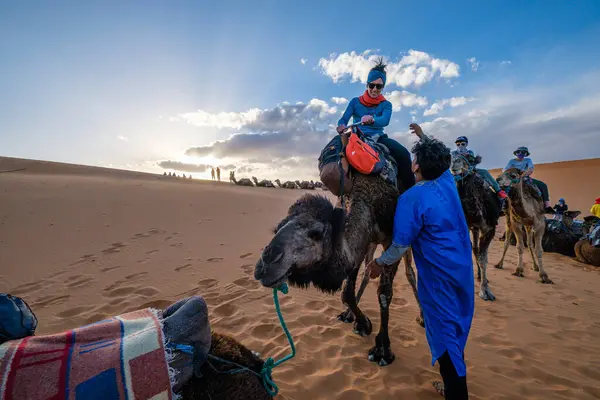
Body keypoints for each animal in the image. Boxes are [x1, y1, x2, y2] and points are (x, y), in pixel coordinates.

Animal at [253, 169, 422, 366]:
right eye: (277, 228)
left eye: (316, 233)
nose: (267, 263)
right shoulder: (363, 241)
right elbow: (347, 292)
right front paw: (363, 323)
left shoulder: (393, 240)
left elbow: (384, 293)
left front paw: (382, 350)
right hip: (372, 244)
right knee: (367, 273)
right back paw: (348, 315)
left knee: (410, 273)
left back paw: (422, 317)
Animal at [450, 153, 502, 300]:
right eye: (451, 156)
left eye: (470, 159)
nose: (454, 163)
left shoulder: (490, 228)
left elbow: (483, 258)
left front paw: (485, 290)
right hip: (473, 228)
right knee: (475, 249)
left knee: (478, 251)